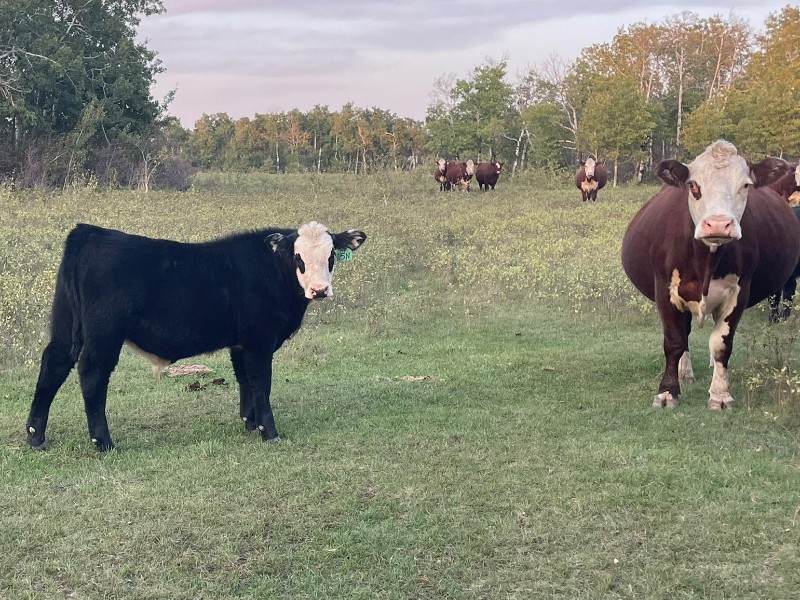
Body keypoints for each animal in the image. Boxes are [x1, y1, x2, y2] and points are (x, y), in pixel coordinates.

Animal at [25, 221, 367, 451]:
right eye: (298, 258)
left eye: (331, 255)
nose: (319, 290)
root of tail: (92, 231)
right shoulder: (259, 340)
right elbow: (261, 383)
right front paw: (268, 432)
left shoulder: (240, 342)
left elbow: (244, 380)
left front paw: (249, 422)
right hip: (104, 334)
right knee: (92, 375)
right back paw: (104, 442)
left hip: (66, 325)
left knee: (53, 365)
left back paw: (35, 436)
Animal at [621, 140, 800, 410]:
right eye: (693, 185)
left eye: (745, 185)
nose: (717, 224)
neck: (706, 260)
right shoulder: (665, 290)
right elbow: (674, 341)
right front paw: (667, 392)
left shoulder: (739, 292)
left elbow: (721, 345)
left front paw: (720, 394)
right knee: (684, 334)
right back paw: (684, 372)